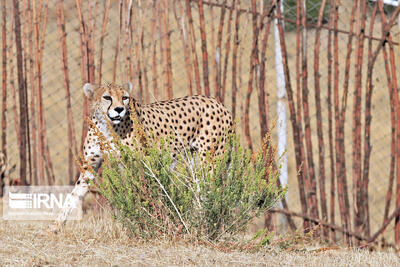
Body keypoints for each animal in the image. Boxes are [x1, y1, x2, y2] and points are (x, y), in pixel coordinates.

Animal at [54, 82, 233, 227]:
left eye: (124, 97)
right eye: (107, 97)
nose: (119, 109)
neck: (107, 127)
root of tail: (218, 102)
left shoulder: (137, 164)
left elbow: (140, 193)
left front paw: (145, 221)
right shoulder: (90, 165)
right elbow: (74, 195)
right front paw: (57, 226)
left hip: (210, 161)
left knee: (210, 189)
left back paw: (202, 219)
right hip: (194, 161)